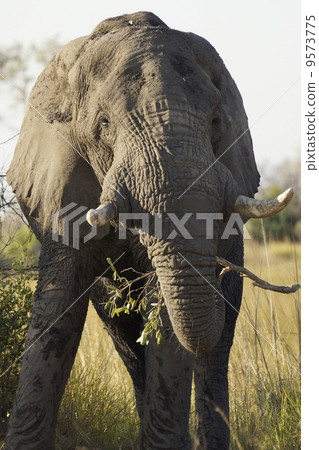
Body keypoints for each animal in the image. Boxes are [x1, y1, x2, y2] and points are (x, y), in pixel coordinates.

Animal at [5, 11, 296, 450]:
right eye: (103, 125)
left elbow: (166, 317)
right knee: (127, 339)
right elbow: (57, 313)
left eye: (216, 122)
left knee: (215, 344)